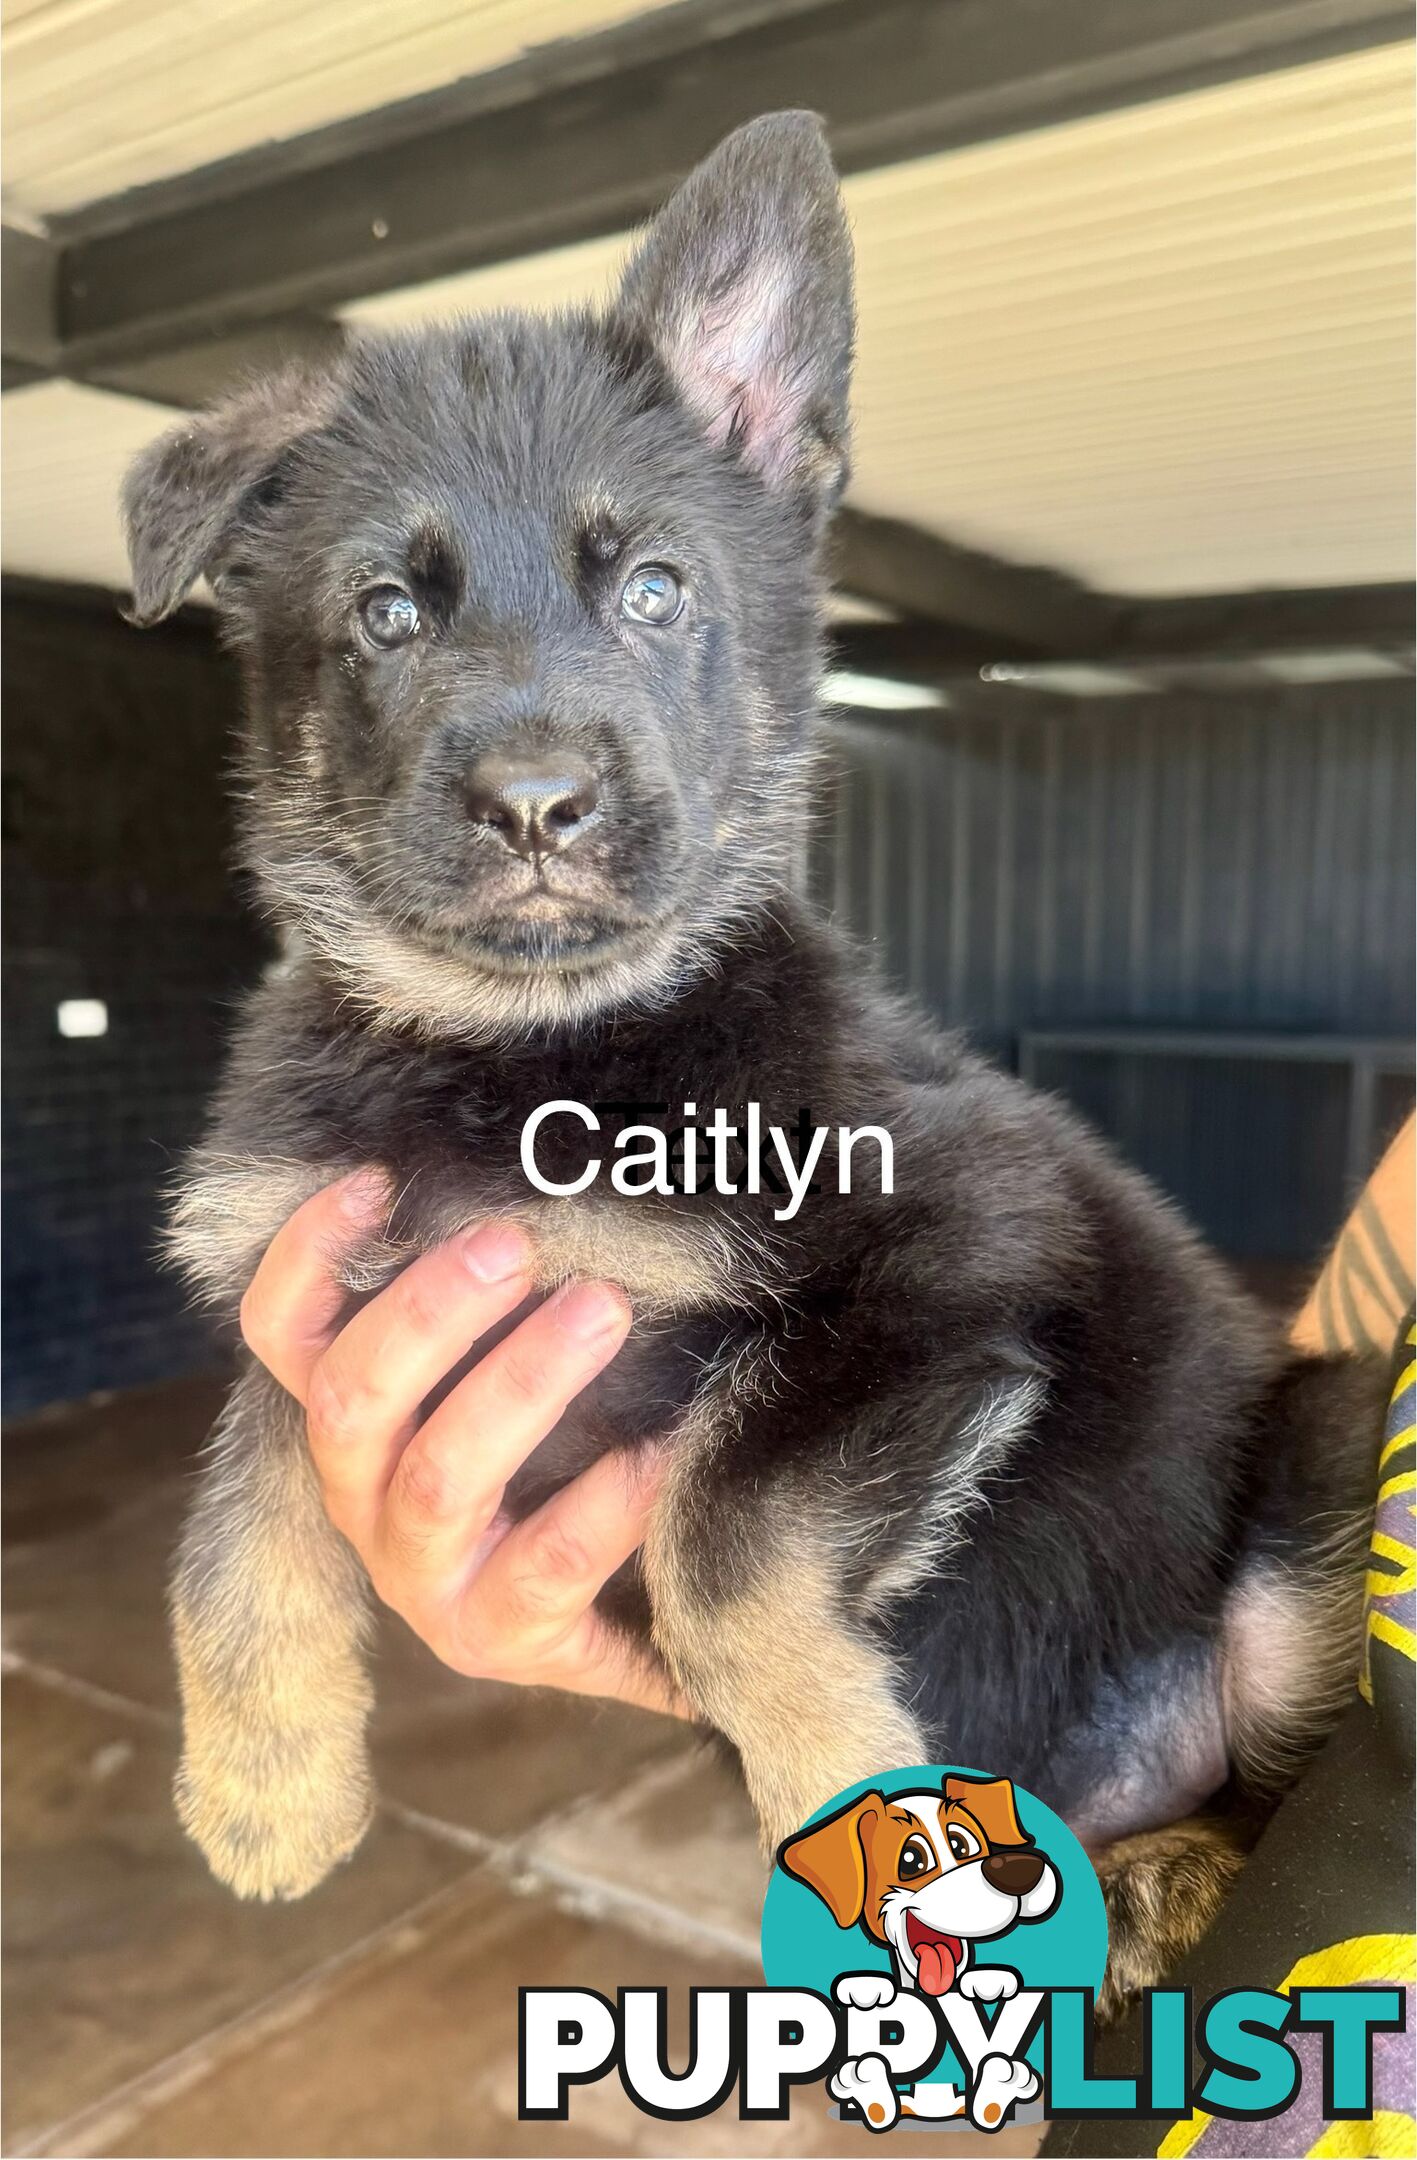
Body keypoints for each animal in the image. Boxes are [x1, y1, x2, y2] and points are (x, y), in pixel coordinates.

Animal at [124, 113, 1382, 2004]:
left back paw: (1184, 1876)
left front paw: (846, 1781)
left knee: (1273, 1757)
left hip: (1317, 1453)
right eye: (387, 616)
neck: (522, 1059)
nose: (537, 805)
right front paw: (265, 1789)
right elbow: (228, 1519)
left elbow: (717, 1535)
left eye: (654, 591)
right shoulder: (312, 1307)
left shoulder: (954, 1259)